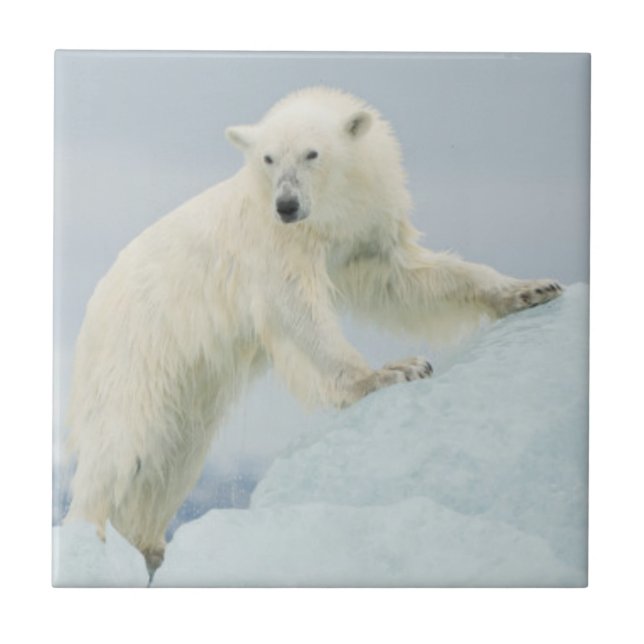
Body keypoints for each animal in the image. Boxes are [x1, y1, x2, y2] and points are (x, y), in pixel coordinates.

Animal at [65, 86, 562, 580]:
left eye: (312, 153)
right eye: (268, 158)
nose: (286, 205)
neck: (327, 214)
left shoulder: (364, 229)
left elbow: (407, 278)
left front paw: (530, 289)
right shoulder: (275, 243)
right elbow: (296, 310)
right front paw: (393, 371)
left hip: (190, 381)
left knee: (173, 454)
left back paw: (149, 548)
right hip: (139, 347)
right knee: (123, 446)